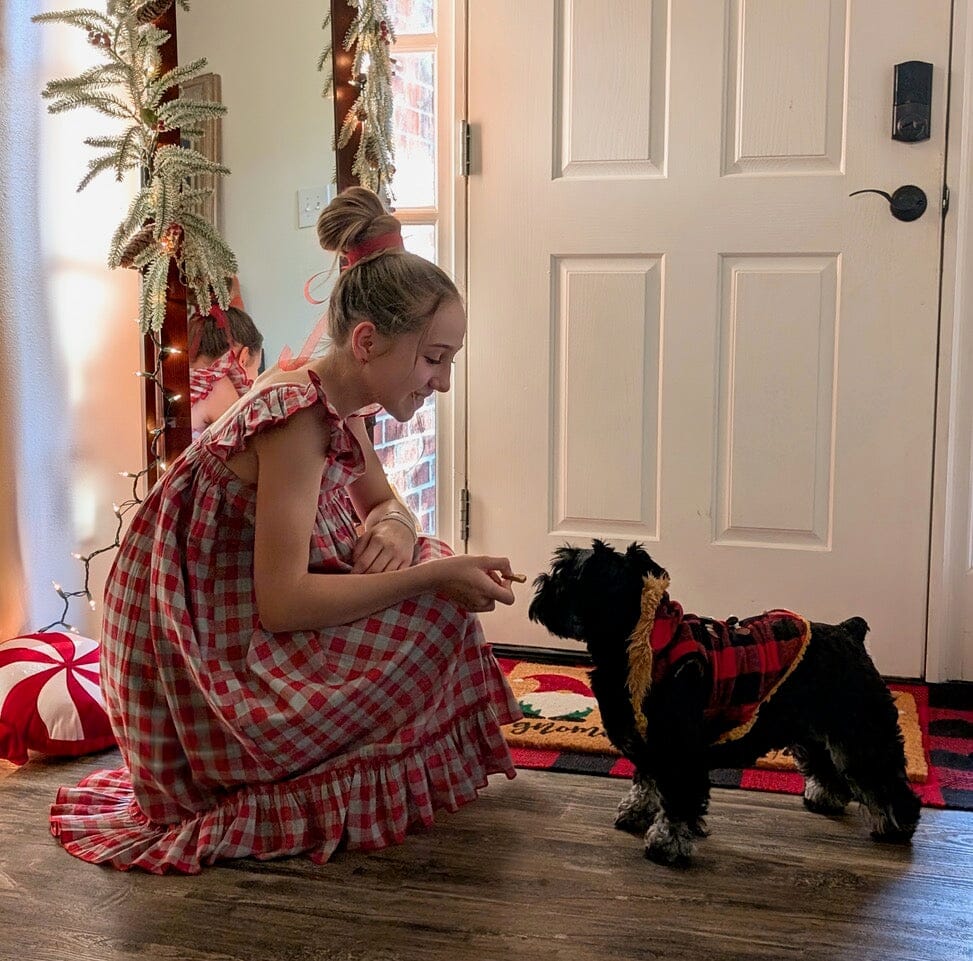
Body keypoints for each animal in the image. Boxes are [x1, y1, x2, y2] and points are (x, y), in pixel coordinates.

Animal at [528, 540, 924, 864]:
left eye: (567, 575)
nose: (540, 586)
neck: (642, 640)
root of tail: (849, 631)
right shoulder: (648, 745)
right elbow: (645, 781)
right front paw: (637, 811)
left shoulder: (677, 750)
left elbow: (677, 800)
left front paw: (666, 843)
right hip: (812, 730)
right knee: (829, 766)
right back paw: (825, 797)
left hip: (861, 729)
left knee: (885, 780)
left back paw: (896, 825)